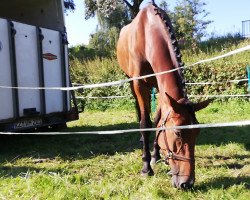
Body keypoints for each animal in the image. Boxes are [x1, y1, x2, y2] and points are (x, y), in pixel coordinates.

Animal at [116, 4, 210, 189]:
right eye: (178, 133)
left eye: (197, 132)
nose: (187, 183)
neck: (147, 34)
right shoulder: (139, 84)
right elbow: (145, 123)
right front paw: (146, 167)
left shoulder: (160, 86)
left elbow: (158, 120)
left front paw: (156, 155)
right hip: (130, 81)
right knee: (138, 110)